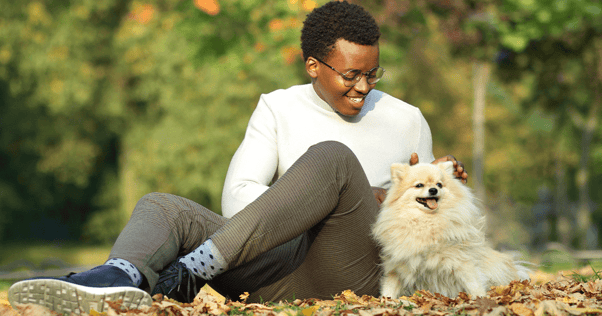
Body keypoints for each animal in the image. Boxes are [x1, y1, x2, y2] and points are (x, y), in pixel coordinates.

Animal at [368, 162, 528, 298]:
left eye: (439, 184)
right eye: (419, 185)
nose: (433, 190)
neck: (428, 222)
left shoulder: (462, 260)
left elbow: (473, 283)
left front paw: (480, 299)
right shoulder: (398, 265)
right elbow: (390, 287)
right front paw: (385, 301)